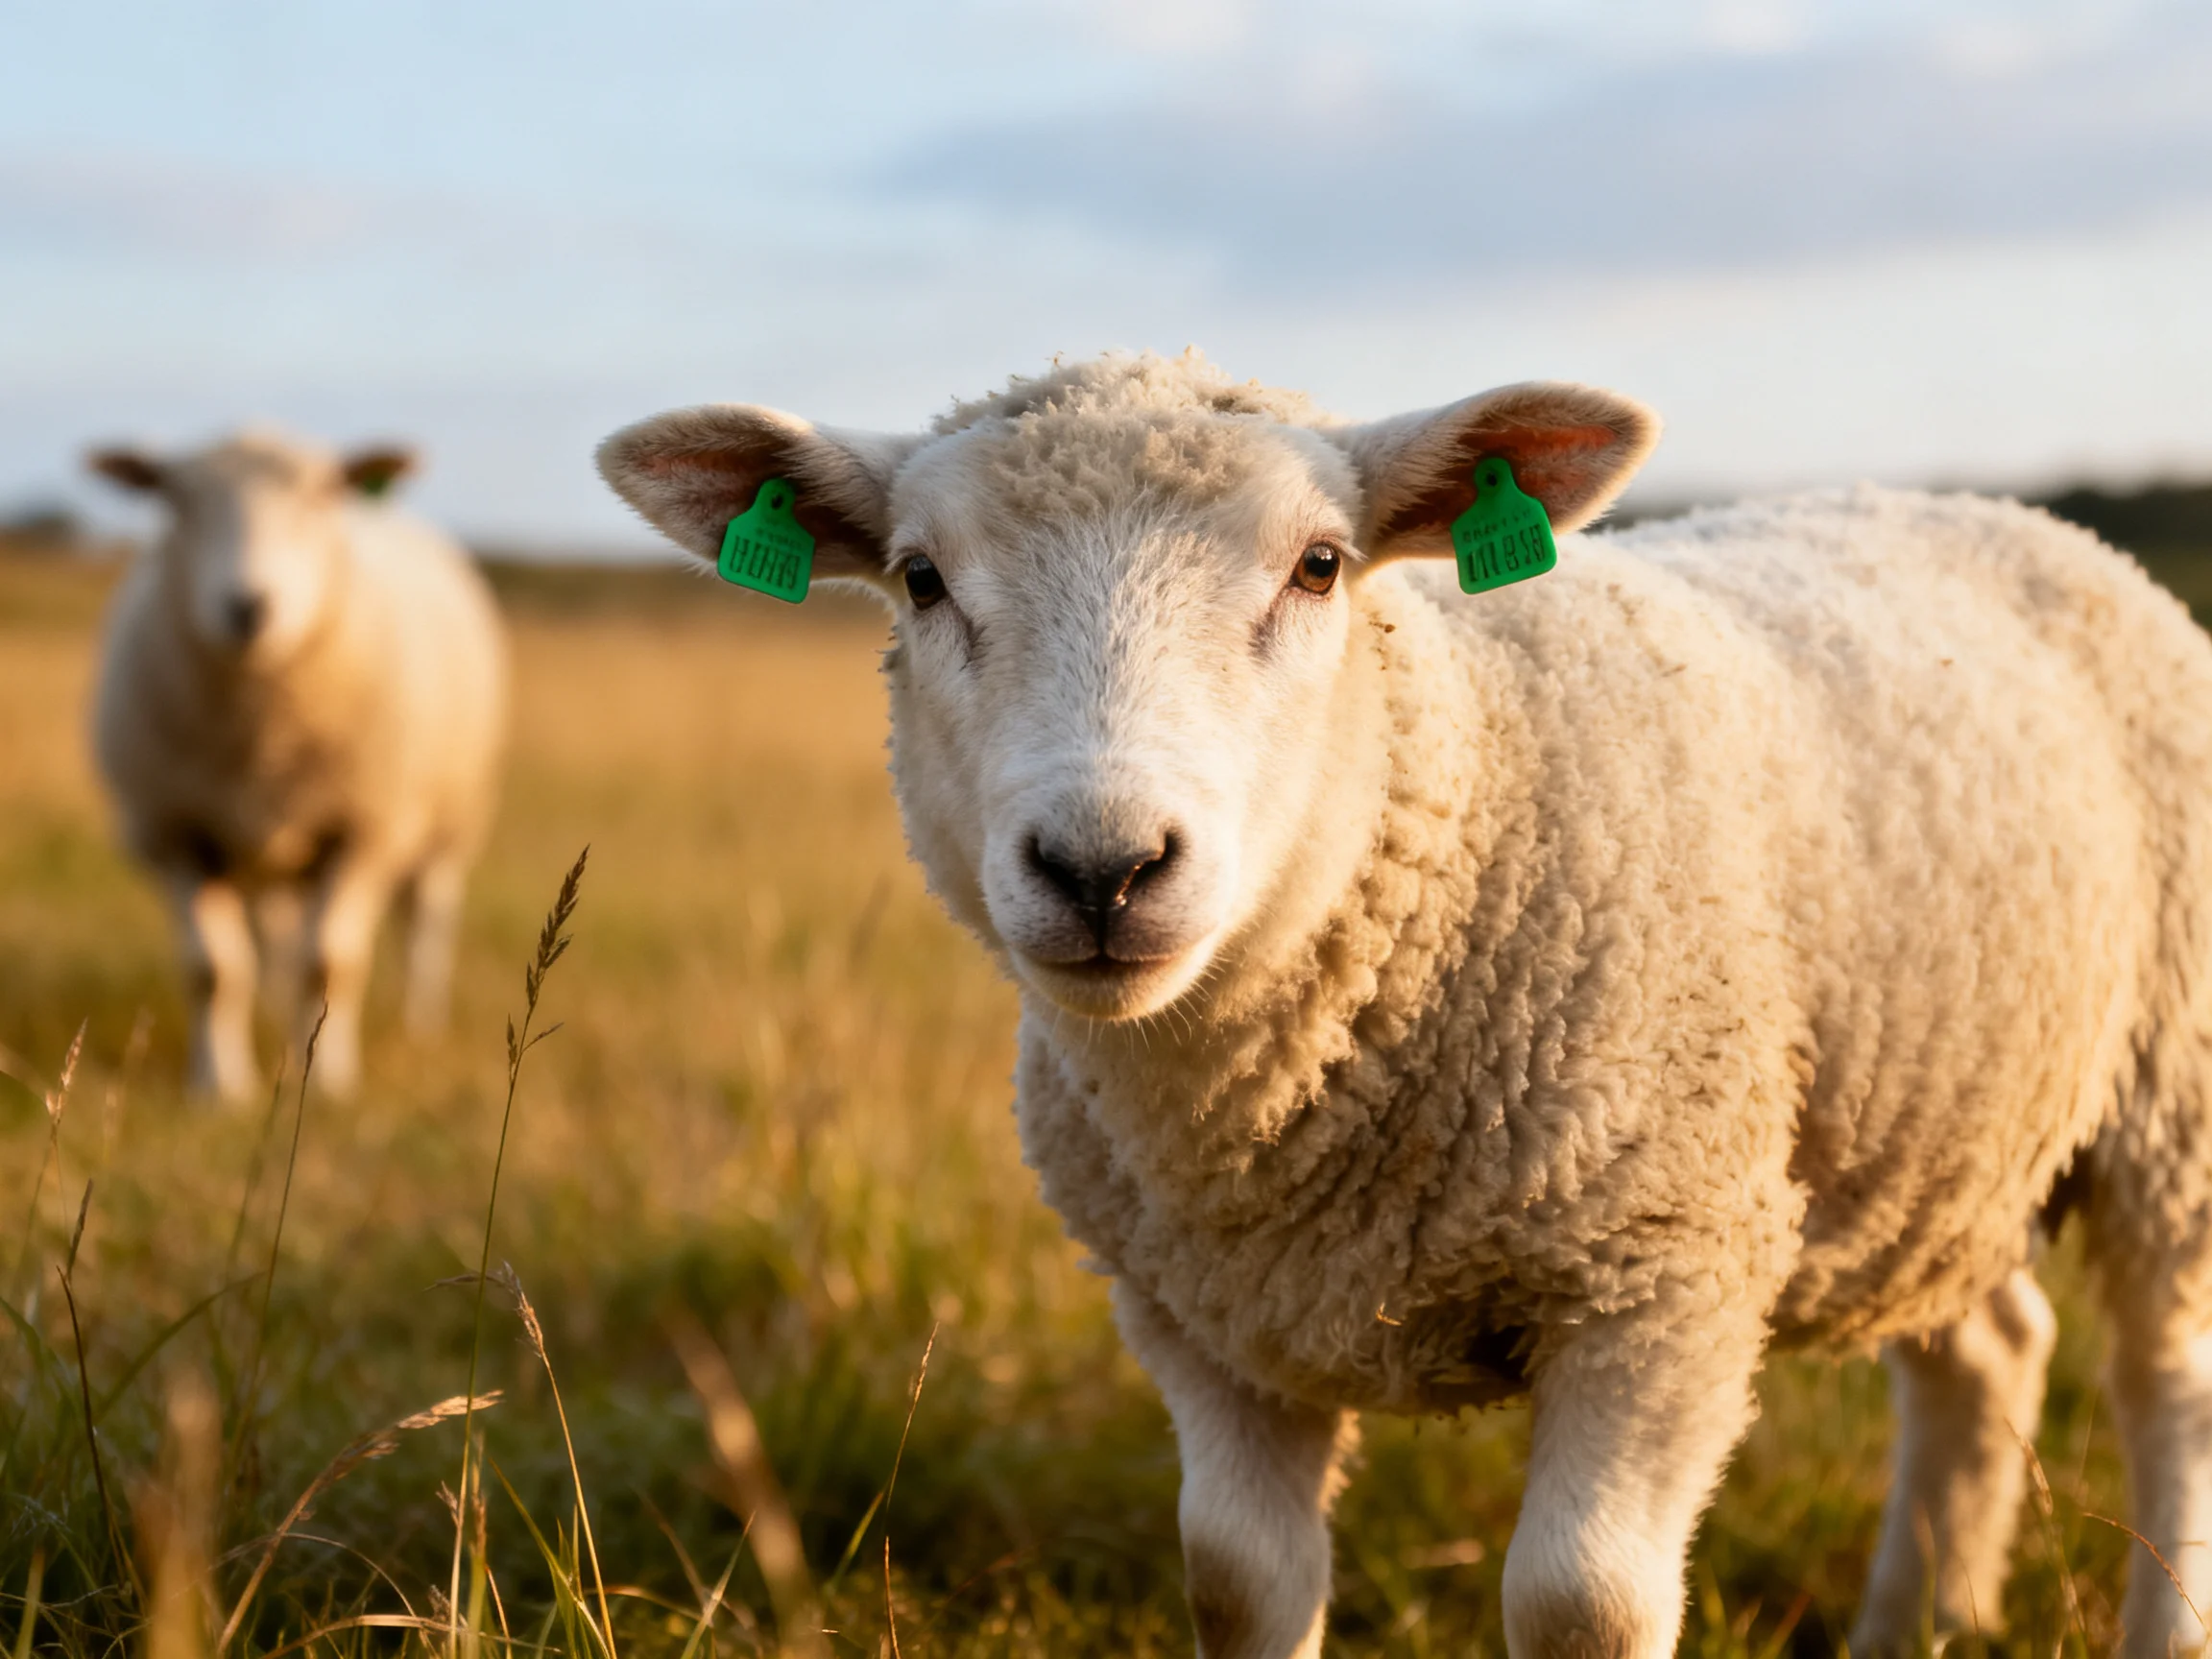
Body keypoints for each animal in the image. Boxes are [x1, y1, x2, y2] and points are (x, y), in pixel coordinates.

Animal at [89, 428, 507, 1103]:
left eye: (320, 498)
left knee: (426, 922)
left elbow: (329, 962)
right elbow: (212, 969)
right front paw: (219, 1088)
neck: (263, 734)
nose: (248, 607)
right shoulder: (174, 832)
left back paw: (420, 1025)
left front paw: (329, 1080)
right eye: (177, 501)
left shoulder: (364, 830)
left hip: (449, 823)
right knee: (272, 935)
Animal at [597, 350, 2212, 1659]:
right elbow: (1235, 1581)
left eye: (1319, 565)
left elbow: (1581, 1604)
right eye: (923, 580)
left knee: (2168, 1387)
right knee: (1986, 1353)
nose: (1104, 868)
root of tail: (1994, 508)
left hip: (2170, 1103)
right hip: (1936, 1129)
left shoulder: (1666, 1273)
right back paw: (1918, 1624)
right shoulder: (1196, 1316)